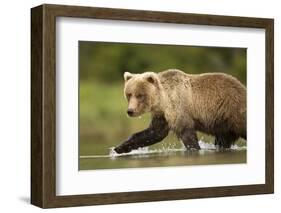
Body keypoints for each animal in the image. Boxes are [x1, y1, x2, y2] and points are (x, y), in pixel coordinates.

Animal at [114, 69, 245, 154]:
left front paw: (194, 148)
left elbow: (186, 132)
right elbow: (154, 133)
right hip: (223, 122)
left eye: (140, 95)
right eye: (129, 94)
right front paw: (119, 148)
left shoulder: (178, 107)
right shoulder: (162, 115)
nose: (130, 111)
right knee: (223, 140)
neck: (162, 100)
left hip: (233, 111)